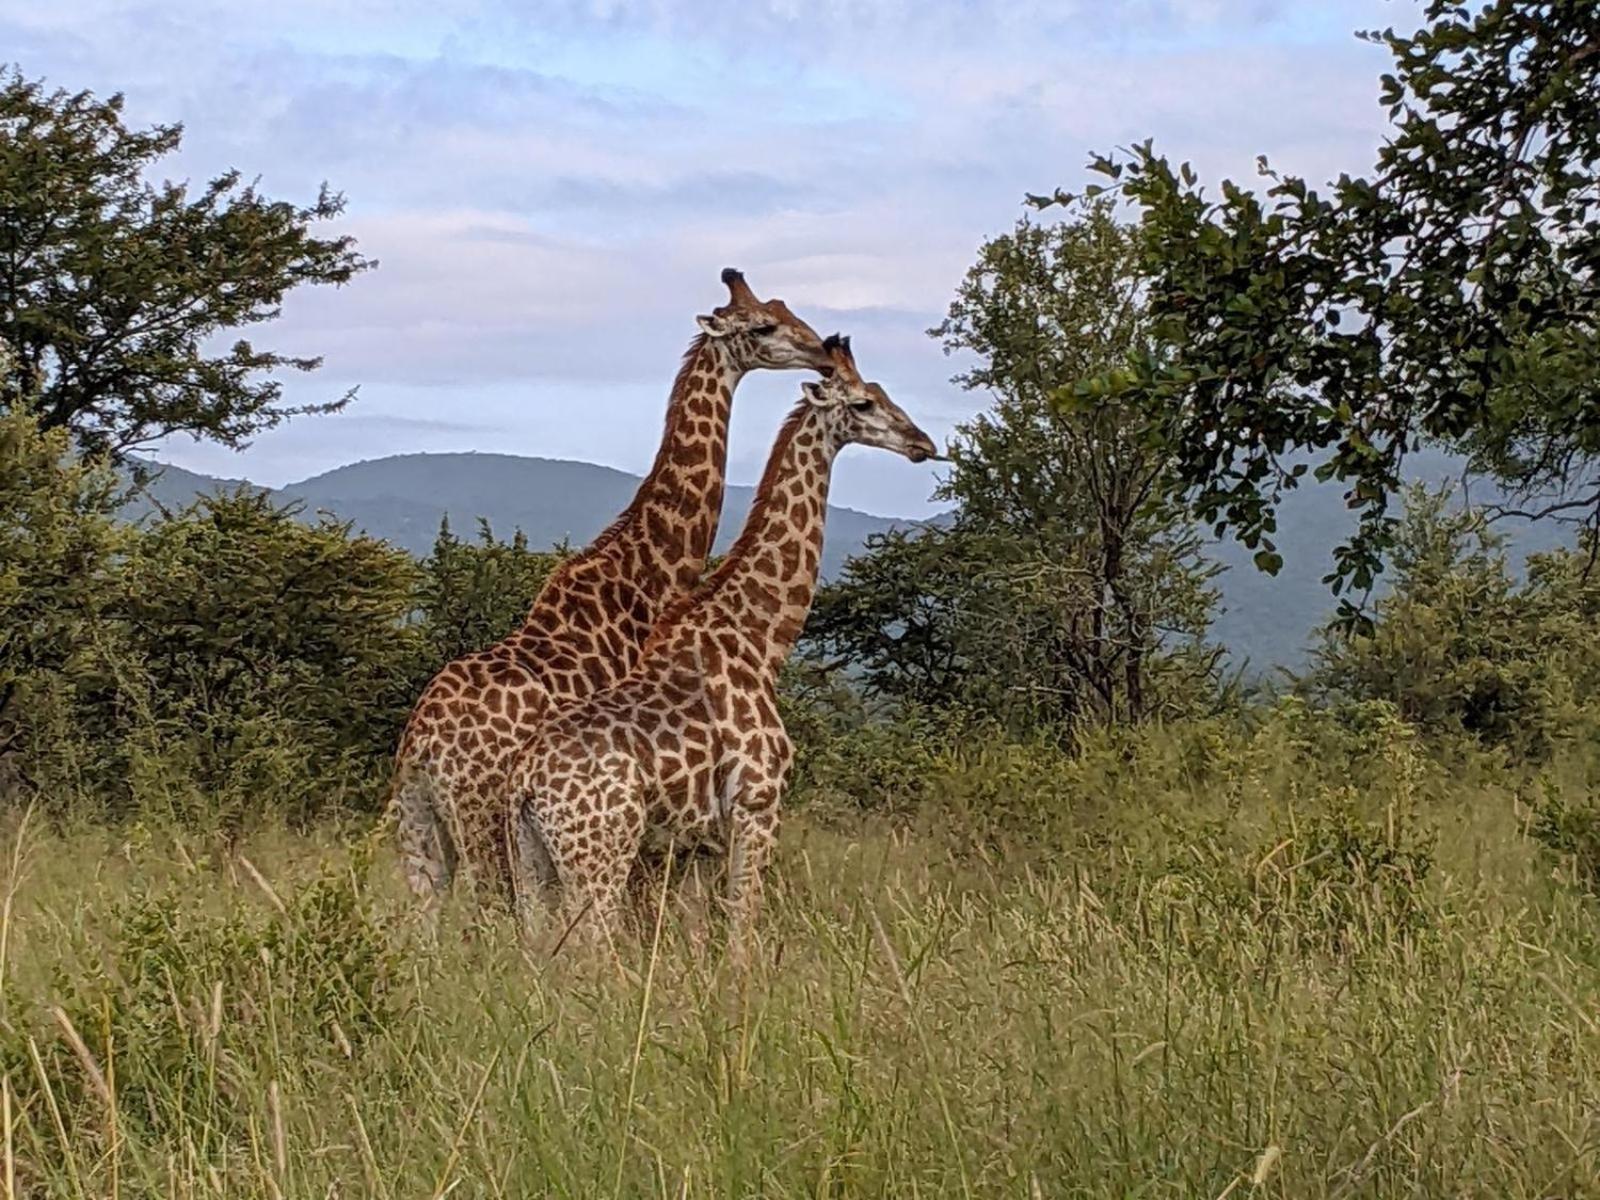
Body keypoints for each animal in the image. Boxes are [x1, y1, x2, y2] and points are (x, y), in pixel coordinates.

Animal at [393, 270, 832, 908]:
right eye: (763, 326)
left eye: (785, 308)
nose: (823, 352)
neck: (644, 578)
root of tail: (421, 743)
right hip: (480, 813)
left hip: (416, 823)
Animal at [505, 339, 934, 960]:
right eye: (863, 402)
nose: (923, 443)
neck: (761, 640)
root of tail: (526, 783)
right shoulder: (758, 806)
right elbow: (742, 929)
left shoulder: (698, 840)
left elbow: (699, 933)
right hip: (599, 859)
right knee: (592, 951)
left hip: (530, 860)